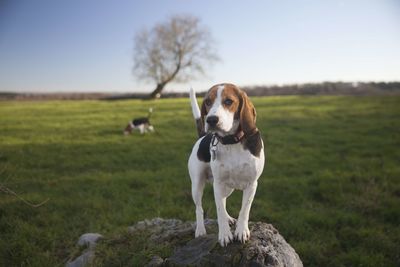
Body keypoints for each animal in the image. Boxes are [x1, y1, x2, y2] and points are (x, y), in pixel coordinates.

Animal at [188, 83, 266, 247]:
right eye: (207, 102)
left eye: (229, 101)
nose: (211, 120)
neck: (232, 142)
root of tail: (203, 136)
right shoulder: (218, 183)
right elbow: (219, 211)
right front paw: (224, 234)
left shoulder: (252, 184)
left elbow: (244, 210)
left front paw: (241, 231)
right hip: (197, 185)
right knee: (199, 208)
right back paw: (200, 229)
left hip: (228, 188)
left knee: (223, 201)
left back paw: (230, 218)